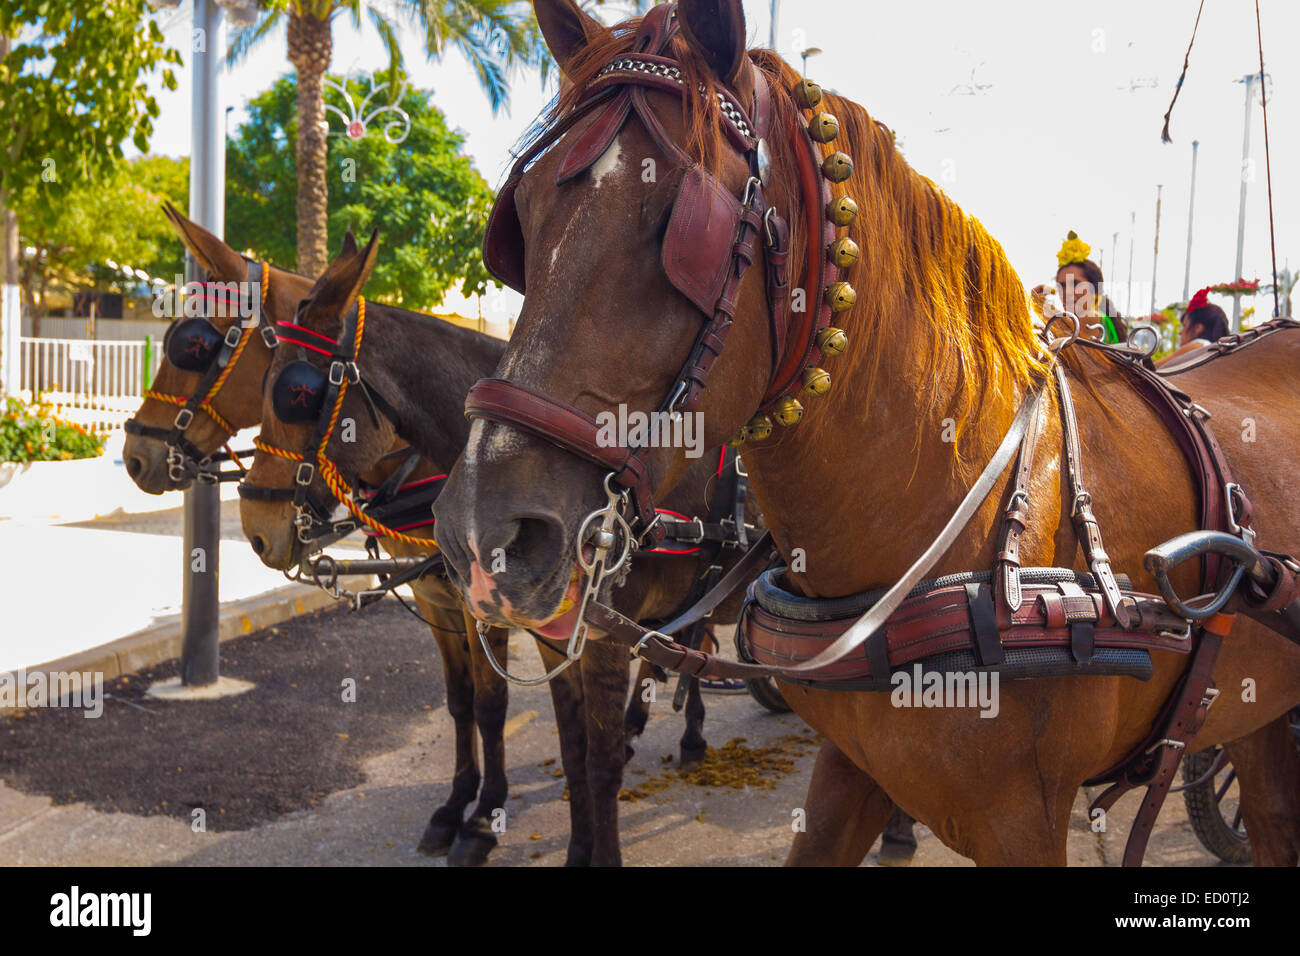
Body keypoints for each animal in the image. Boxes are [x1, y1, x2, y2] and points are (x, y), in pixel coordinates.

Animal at [239, 231, 759, 868]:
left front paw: (485, 819)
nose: (255, 527)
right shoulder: (498, 622)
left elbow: (590, 755)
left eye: (298, 393)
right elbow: (548, 735)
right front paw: (533, 832)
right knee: (696, 641)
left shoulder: (599, 639)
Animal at [434, 0, 1300, 868]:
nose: (481, 534)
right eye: (521, 221)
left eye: (678, 224)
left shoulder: (1024, 820)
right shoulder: (850, 768)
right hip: (1260, 716)